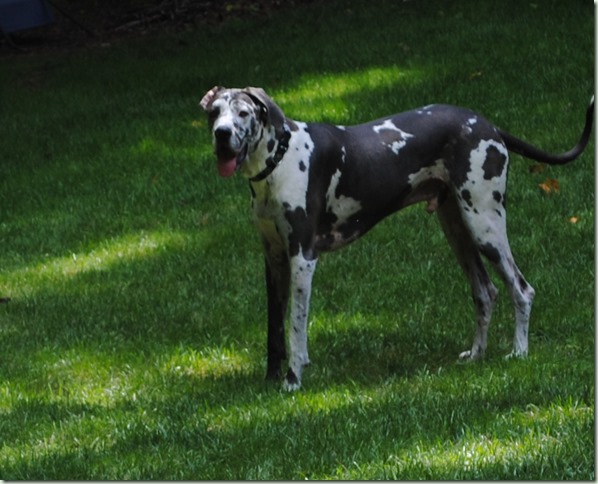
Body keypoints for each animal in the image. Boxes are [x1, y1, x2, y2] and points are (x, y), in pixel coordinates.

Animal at [200, 86, 594, 390]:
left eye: (243, 112)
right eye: (215, 112)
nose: (222, 134)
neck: (278, 163)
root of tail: (488, 123)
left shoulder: (302, 258)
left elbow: (296, 329)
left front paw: (293, 379)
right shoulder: (274, 260)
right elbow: (275, 330)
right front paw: (271, 379)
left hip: (485, 226)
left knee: (521, 289)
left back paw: (520, 352)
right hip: (458, 231)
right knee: (485, 292)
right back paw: (477, 355)